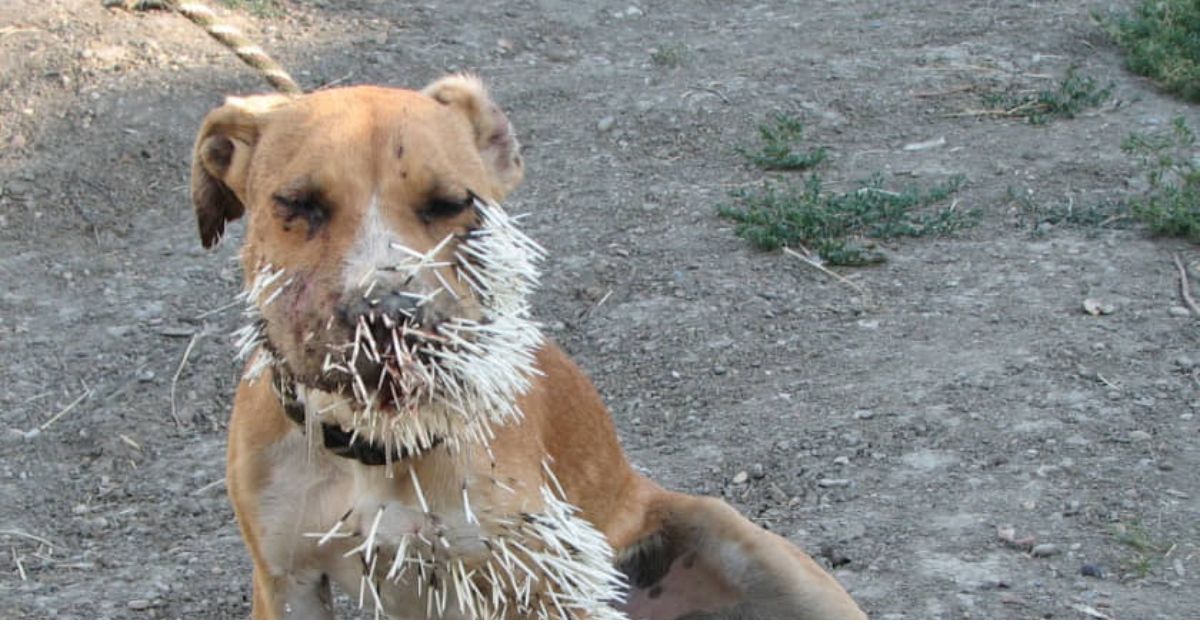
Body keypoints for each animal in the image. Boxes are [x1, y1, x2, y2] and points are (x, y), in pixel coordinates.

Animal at [189, 73, 864, 614]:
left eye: (452, 203)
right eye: (297, 203)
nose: (388, 313)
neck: (380, 445)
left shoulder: (532, 575)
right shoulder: (287, 583)